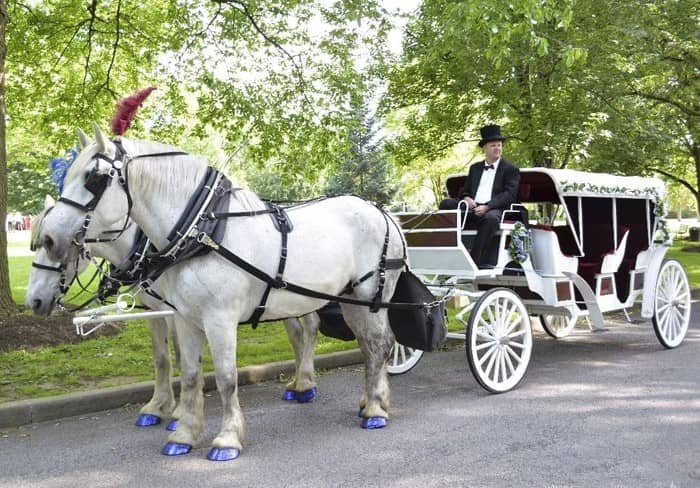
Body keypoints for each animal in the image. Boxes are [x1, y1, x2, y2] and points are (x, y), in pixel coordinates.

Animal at [41, 124, 404, 460]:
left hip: (372, 295)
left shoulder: (219, 319)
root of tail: (383, 212)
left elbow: (226, 378)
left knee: (381, 343)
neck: (202, 231)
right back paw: (370, 400)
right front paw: (183, 434)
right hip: (351, 299)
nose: (49, 238)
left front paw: (227, 439)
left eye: (94, 178)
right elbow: (189, 374)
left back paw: (374, 410)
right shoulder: (184, 317)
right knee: (368, 345)